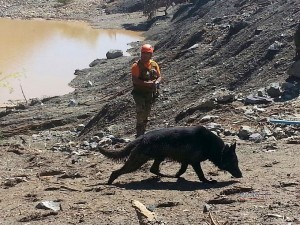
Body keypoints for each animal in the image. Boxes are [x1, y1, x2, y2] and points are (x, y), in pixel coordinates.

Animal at [99, 125, 243, 184]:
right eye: (234, 162)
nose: (241, 175)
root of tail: (142, 138)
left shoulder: (186, 161)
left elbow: (182, 170)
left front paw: (177, 176)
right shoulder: (195, 162)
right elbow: (201, 175)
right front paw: (208, 181)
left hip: (158, 157)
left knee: (153, 169)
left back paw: (164, 176)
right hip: (137, 161)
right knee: (117, 172)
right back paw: (110, 182)